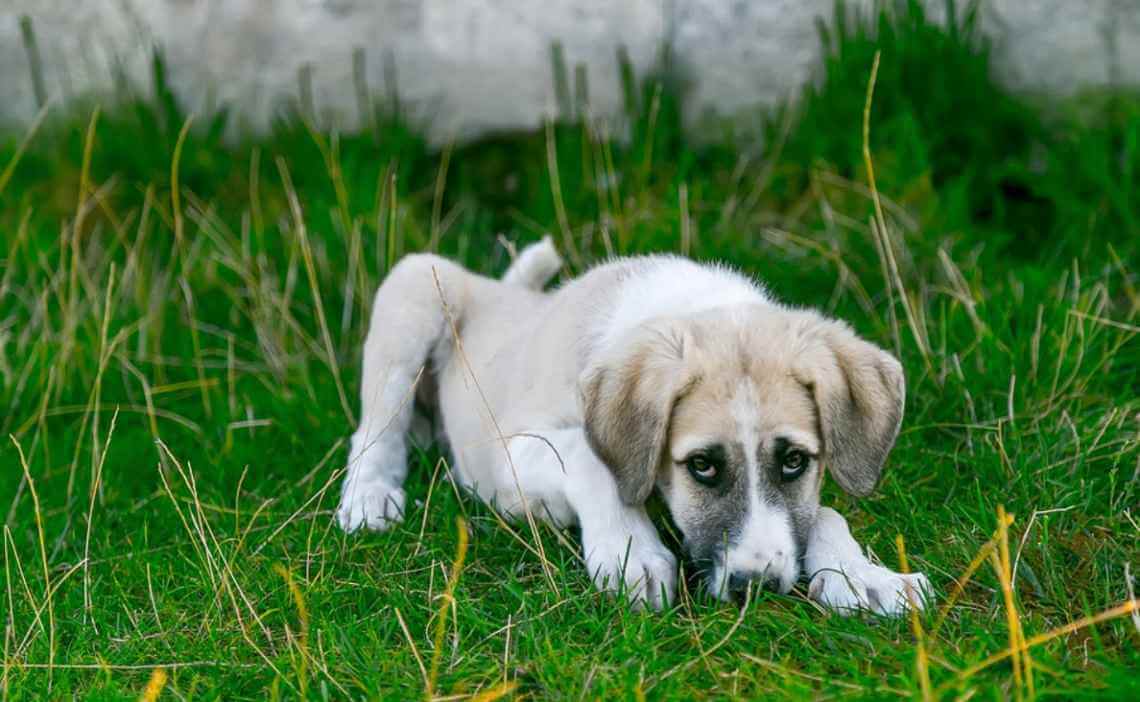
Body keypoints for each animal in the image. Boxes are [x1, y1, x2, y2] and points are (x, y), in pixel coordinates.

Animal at [335, 241, 925, 615]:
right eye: (702, 466)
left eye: (795, 461)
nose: (754, 587)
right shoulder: (510, 453)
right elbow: (589, 457)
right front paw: (630, 553)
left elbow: (822, 513)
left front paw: (862, 575)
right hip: (415, 286)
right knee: (374, 428)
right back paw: (369, 496)